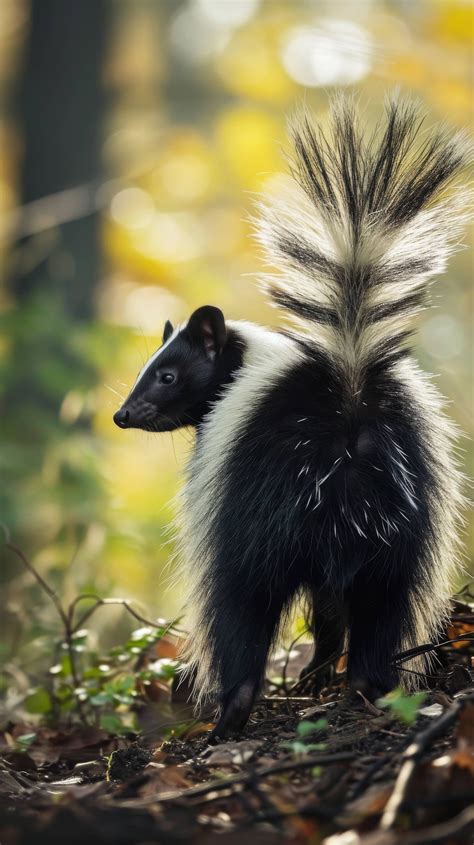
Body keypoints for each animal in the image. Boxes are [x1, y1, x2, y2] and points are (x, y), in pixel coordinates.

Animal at [113, 99, 468, 740]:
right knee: (378, 607)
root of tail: (348, 403)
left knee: (241, 605)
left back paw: (229, 716)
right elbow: (332, 608)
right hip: (398, 530)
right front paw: (319, 675)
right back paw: (363, 689)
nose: (124, 414)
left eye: (168, 375)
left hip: (260, 518)